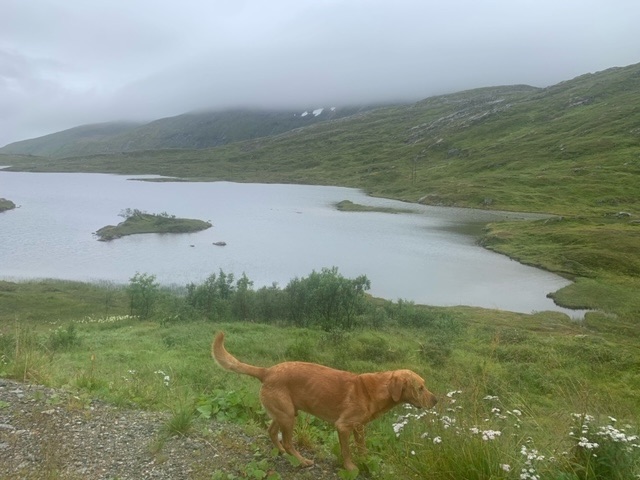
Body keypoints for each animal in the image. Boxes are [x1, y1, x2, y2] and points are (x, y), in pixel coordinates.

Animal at [212, 332, 437, 471]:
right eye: (420, 388)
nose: (435, 400)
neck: (376, 391)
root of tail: (266, 371)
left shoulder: (359, 428)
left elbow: (362, 448)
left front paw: (367, 460)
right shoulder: (343, 426)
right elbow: (347, 451)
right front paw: (351, 467)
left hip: (285, 413)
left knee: (272, 432)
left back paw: (282, 452)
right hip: (288, 416)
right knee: (288, 441)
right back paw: (301, 461)